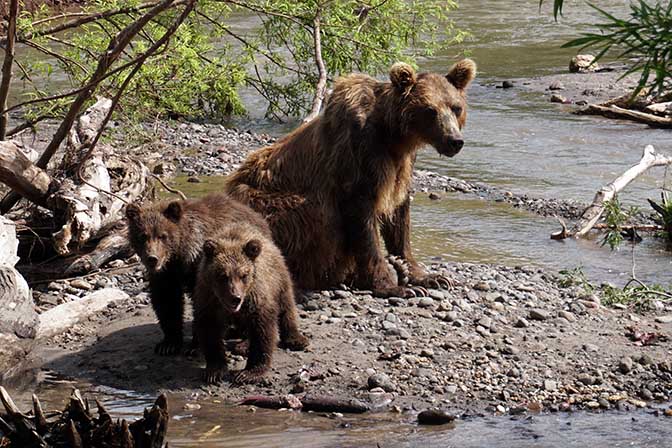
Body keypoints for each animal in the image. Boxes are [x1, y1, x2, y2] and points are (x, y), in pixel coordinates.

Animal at [227, 59, 478, 298]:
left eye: (456, 107)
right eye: (430, 110)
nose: (455, 140)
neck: (394, 138)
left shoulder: (402, 167)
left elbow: (399, 217)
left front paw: (426, 276)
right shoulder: (357, 154)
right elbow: (361, 217)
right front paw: (391, 285)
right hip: (262, 201)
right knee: (313, 214)